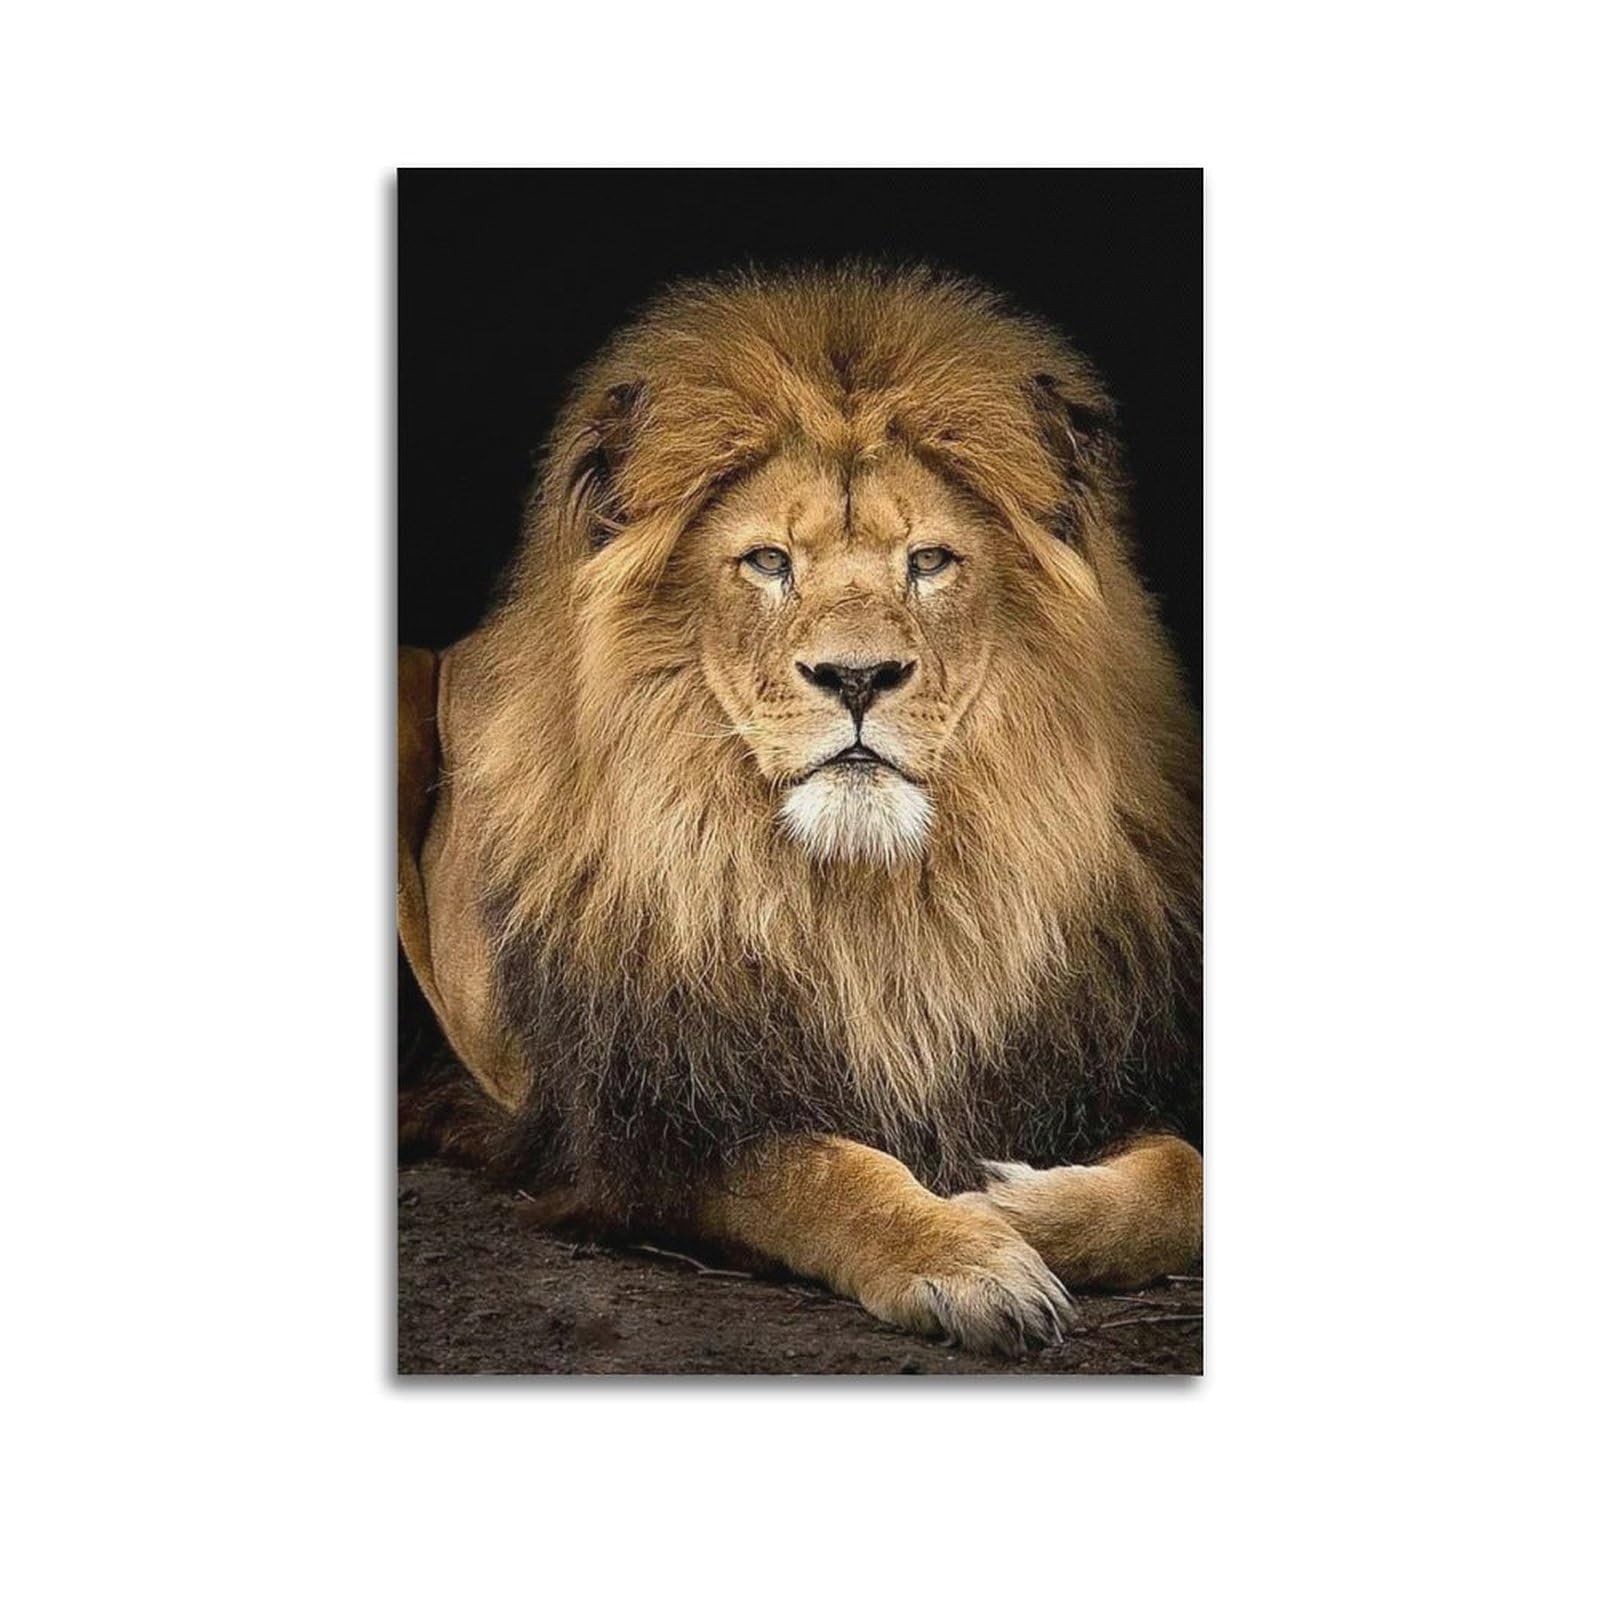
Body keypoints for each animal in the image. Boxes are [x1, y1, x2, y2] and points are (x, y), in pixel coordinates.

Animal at [399, 264, 1202, 1357]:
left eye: (929, 560)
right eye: (770, 561)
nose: (856, 676)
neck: (865, 902)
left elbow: (1183, 1177)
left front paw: (1011, 1204)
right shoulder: (649, 1132)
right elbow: (827, 1170)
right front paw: (964, 1252)